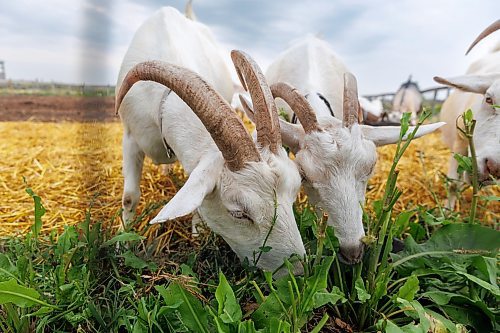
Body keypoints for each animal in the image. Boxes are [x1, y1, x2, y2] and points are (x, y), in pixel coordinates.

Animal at [116, 7, 304, 272]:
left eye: (295, 191)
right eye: (238, 213)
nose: (298, 272)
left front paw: (198, 234)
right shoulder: (131, 136)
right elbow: (129, 197)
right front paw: (123, 244)